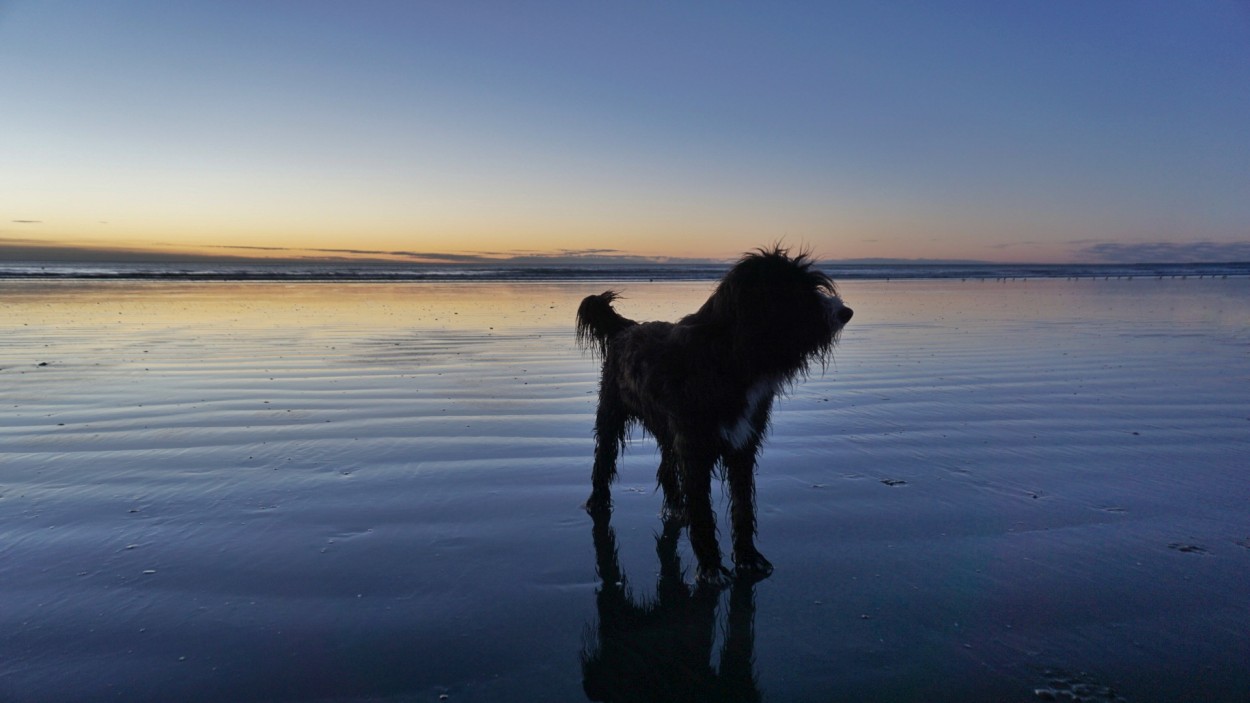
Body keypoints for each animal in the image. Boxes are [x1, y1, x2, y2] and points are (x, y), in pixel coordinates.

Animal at [572, 243, 850, 582]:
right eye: (798, 290)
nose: (845, 312)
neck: (730, 356)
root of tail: (627, 328)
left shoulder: (742, 442)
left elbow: (743, 505)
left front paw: (748, 558)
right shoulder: (695, 445)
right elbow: (703, 509)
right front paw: (711, 568)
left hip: (667, 429)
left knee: (666, 468)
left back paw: (676, 507)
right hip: (612, 410)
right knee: (605, 456)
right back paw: (598, 502)